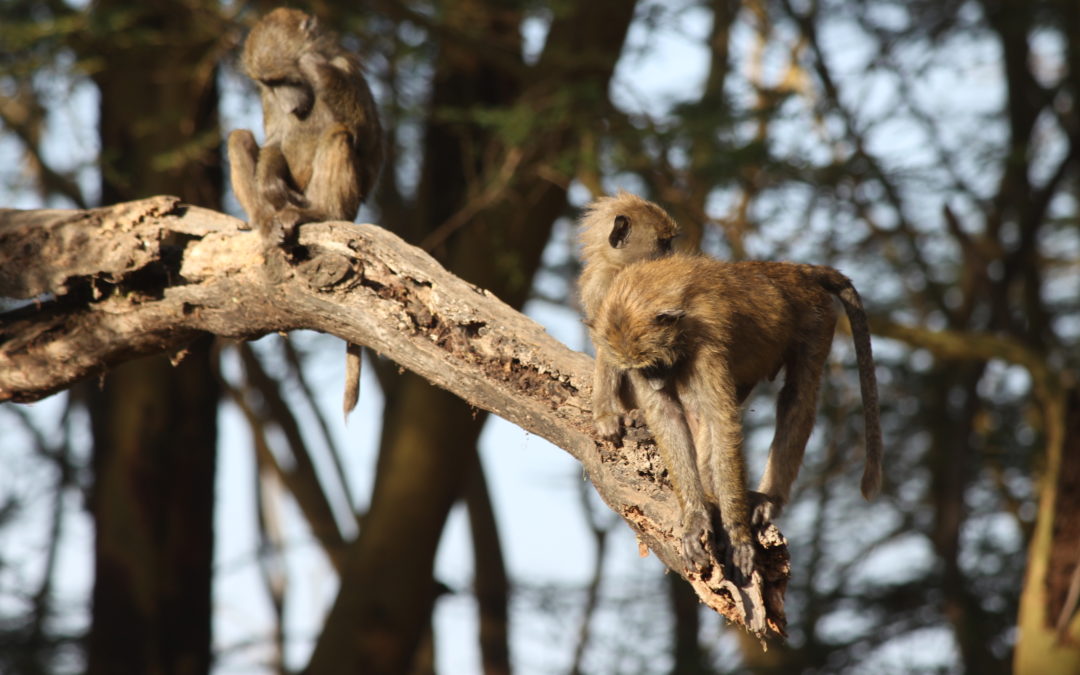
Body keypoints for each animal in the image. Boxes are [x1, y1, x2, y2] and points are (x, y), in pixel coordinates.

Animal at [225, 6, 382, 416]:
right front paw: (268, 181)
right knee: (238, 137)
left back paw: (315, 213)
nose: (290, 103)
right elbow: (275, 141)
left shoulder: (348, 71)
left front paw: (316, 66)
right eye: (270, 83)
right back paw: (266, 223)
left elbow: (365, 141)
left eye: (287, 78)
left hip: (343, 204)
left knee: (339, 133)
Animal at [587, 252, 881, 583]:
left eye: (652, 365)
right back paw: (712, 497)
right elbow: (668, 417)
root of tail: (792, 270)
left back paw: (767, 499)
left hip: (816, 317)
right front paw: (695, 518)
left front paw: (737, 537)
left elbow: (722, 421)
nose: (655, 383)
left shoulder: (706, 343)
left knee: (796, 397)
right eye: (641, 369)